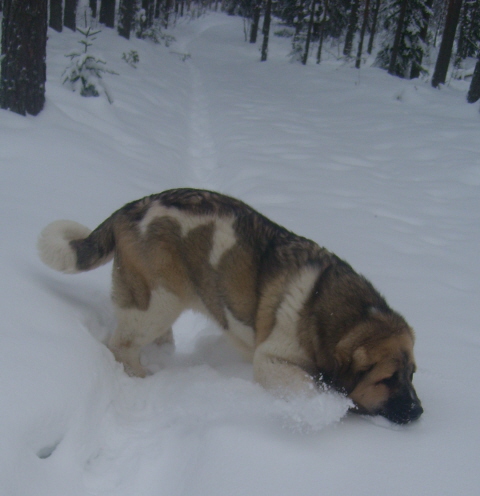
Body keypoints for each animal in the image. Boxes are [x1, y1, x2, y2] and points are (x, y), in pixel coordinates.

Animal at [37, 188, 422, 424]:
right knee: (121, 345)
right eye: (387, 379)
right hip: (157, 302)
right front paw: (321, 408)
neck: (335, 313)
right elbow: (304, 385)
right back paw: (141, 375)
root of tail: (130, 208)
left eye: (412, 374)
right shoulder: (270, 359)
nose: (418, 412)